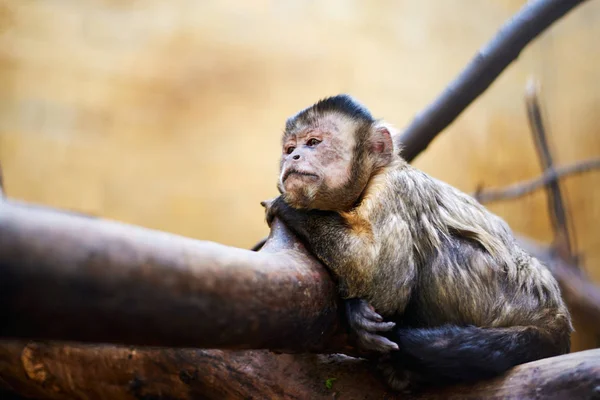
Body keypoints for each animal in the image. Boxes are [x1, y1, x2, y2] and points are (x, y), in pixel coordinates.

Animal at [262, 94, 572, 390]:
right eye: (289, 149)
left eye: (313, 142)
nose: (294, 157)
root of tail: (555, 315)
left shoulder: (393, 187)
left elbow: (381, 278)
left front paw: (289, 207)